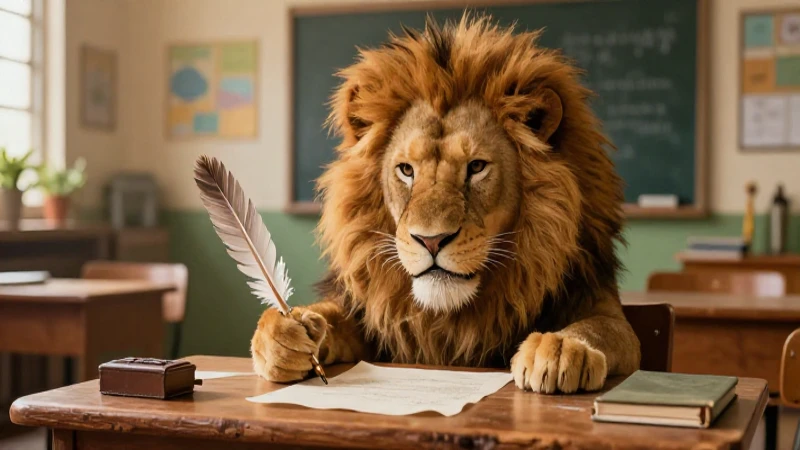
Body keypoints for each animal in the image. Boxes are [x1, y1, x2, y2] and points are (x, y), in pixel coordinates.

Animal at [251, 14, 641, 394]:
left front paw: (560, 349)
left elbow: (599, 327)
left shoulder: (602, 305)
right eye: (406, 170)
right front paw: (284, 336)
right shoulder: (374, 320)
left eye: (477, 167)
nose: (431, 240)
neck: (446, 317)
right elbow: (327, 315)